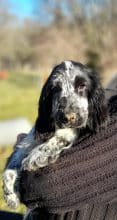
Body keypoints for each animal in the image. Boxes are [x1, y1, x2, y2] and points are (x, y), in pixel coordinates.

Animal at [2, 61, 108, 211]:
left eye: (82, 85)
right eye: (56, 88)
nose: (68, 117)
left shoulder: (75, 131)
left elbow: (61, 137)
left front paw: (35, 156)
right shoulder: (27, 142)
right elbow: (11, 166)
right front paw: (10, 196)